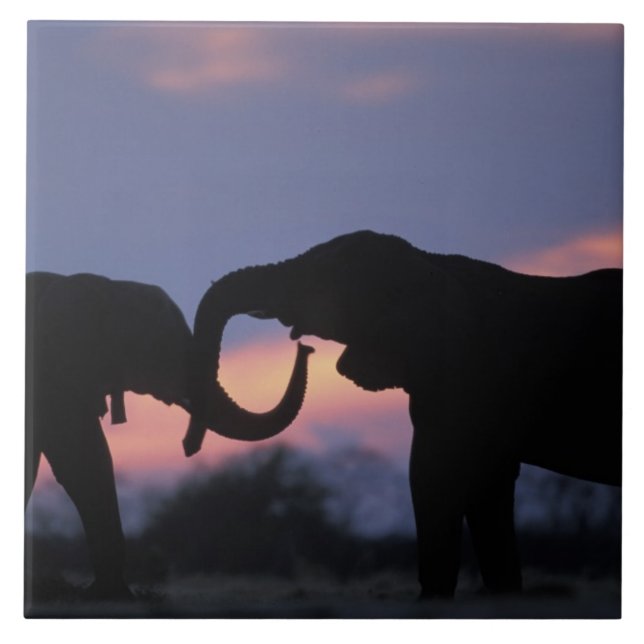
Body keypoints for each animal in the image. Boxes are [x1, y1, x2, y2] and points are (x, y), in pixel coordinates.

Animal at [25, 271, 203, 599]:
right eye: (164, 346)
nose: (188, 448)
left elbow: (89, 460)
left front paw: (108, 594)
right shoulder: (51, 379)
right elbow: (79, 460)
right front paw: (108, 594)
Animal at [184, 230, 622, 599]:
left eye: (324, 277)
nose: (190, 446)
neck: (431, 262)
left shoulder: (470, 377)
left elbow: (432, 475)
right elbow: (484, 486)